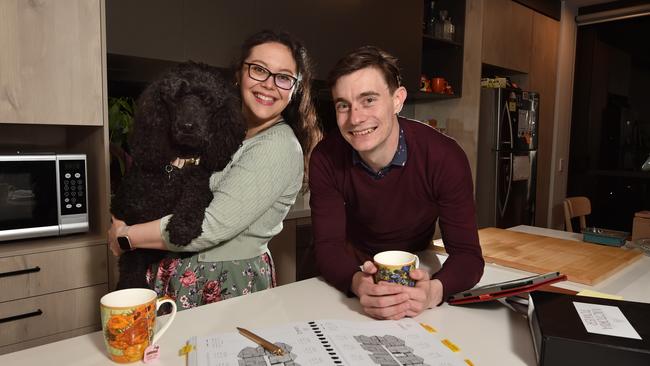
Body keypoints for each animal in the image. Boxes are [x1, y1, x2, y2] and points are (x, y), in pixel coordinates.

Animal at [111, 61, 246, 290]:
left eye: (208, 101)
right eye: (174, 98)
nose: (187, 127)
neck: (177, 167)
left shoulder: (199, 183)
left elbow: (196, 195)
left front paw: (183, 225)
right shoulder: (128, 215)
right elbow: (130, 267)